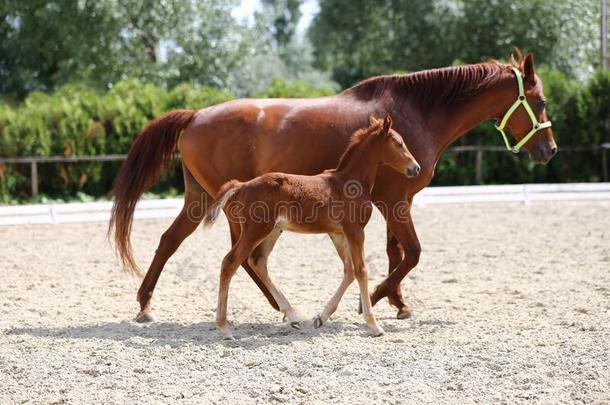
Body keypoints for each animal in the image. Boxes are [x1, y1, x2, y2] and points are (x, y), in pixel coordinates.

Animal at [203, 114, 418, 338]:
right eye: (398, 143)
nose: (415, 168)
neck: (350, 181)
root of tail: (241, 185)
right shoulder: (355, 231)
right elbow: (361, 270)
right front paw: (374, 325)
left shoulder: (338, 234)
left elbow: (349, 270)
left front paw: (321, 318)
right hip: (256, 230)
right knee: (230, 263)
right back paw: (224, 328)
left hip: (272, 231)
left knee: (258, 261)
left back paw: (293, 315)